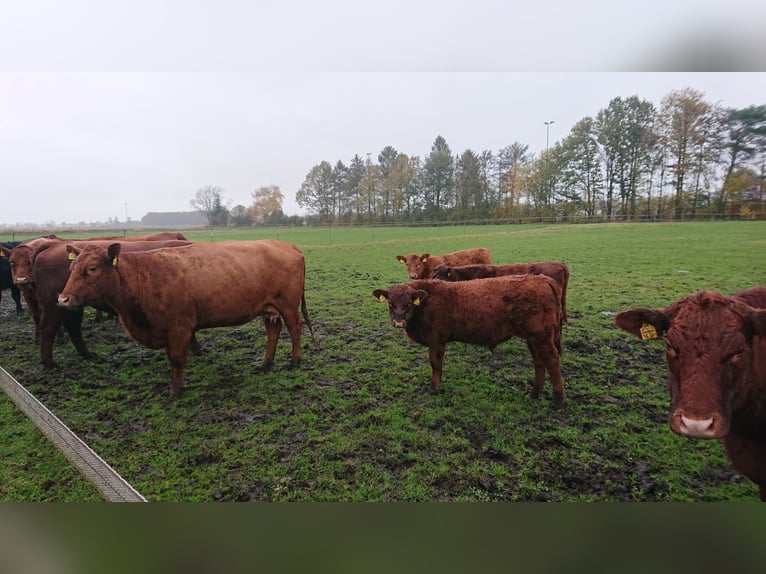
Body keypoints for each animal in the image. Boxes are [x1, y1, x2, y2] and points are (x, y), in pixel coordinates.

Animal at [6, 240, 192, 366]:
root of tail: (51, 246)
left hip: (70, 306)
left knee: (73, 327)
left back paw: (87, 355)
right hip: (53, 305)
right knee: (48, 328)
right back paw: (49, 363)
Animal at [56, 241, 316, 398]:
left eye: (91, 268)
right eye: (70, 268)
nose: (63, 299)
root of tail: (283, 243)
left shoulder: (179, 328)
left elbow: (178, 359)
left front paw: (176, 389)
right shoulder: (165, 330)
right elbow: (171, 359)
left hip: (288, 305)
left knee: (295, 329)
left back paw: (294, 361)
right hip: (269, 309)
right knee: (273, 332)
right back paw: (265, 364)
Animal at [372, 276, 564, 408]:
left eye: (409, 304)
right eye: (390, 303)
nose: (398, 322)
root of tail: (541, 278)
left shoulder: (436, 340)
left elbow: (435, 364)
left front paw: (433, 389)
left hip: (541, 336)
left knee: (552, 362)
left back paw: (557, 400)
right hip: (532, 338)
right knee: (539, 362)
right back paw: (534, 393)